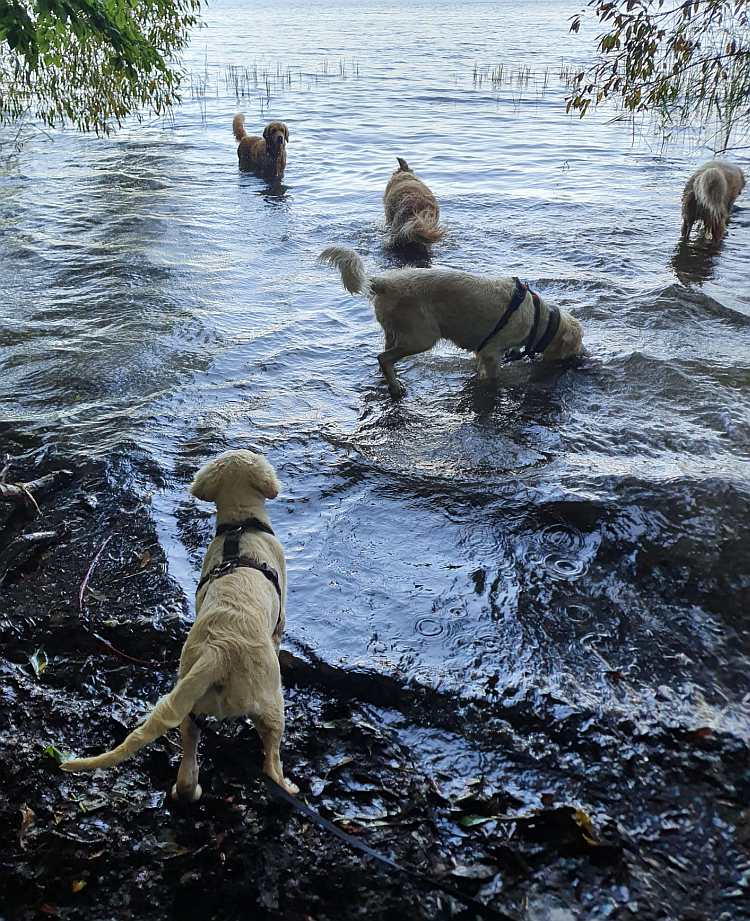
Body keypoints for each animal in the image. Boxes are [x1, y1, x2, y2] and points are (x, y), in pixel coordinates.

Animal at [62, 450, 297, 800]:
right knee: (271, 761)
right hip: (270, 706)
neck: (240, 527)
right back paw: (287, 786)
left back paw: (186, 791)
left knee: (187, 768)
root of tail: (219, 652)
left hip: (191, 708)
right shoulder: (279, 621)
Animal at [320, 247, 582, 398]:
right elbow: (494, 377)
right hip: (422, 338)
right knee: (383, 358)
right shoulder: (491, 351)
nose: (580, 360)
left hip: (395, 332)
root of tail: (384, 282)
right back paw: (396, 388)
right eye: (574, 348)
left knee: (384, 358)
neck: (539, 319)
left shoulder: (482, 352)